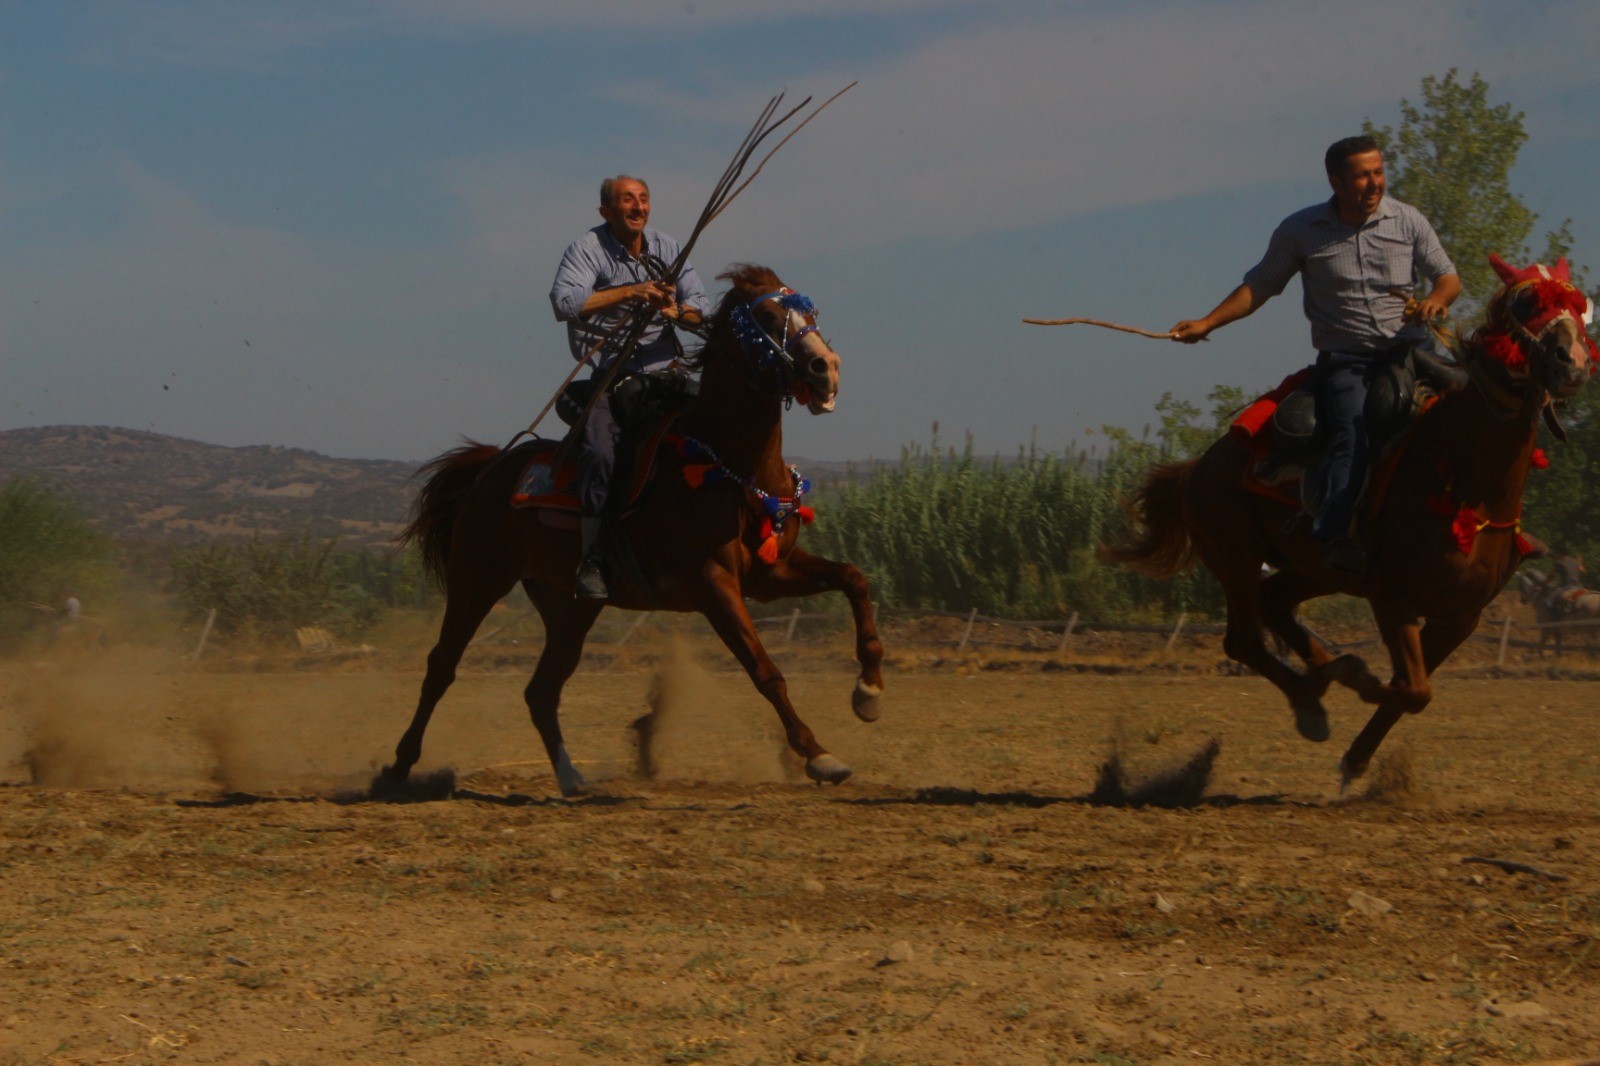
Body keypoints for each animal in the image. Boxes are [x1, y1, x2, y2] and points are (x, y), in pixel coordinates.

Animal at [384, 265, 889, 793]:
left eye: (812, 311)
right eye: (767, 316)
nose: (826, 368)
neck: (730, 465)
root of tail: (490, 469)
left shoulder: (770, 575)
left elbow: (854, 578)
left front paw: (868, 692)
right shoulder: (713, 583)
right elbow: (764, 670)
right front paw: (818, 754)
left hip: (569, 608)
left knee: (541, 690)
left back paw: (571, 777)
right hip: (476, 580)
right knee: (441, 667)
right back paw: (397, 769)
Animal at [1107, 252, 1593, 784]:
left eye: (1580, 306)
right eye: (1527, 304)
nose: (1572, 361)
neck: (1466, 485)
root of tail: (1197, 468)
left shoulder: (1462, 614)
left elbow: (1411, 691)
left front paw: (1357, 755)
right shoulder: (1392, 598)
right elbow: (1410, 688)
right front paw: (1355, 680)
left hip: (1314, 568)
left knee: (1273, 602)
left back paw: (1320, 674)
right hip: (1235, 556)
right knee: (1243, 640)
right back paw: (1315, 696)